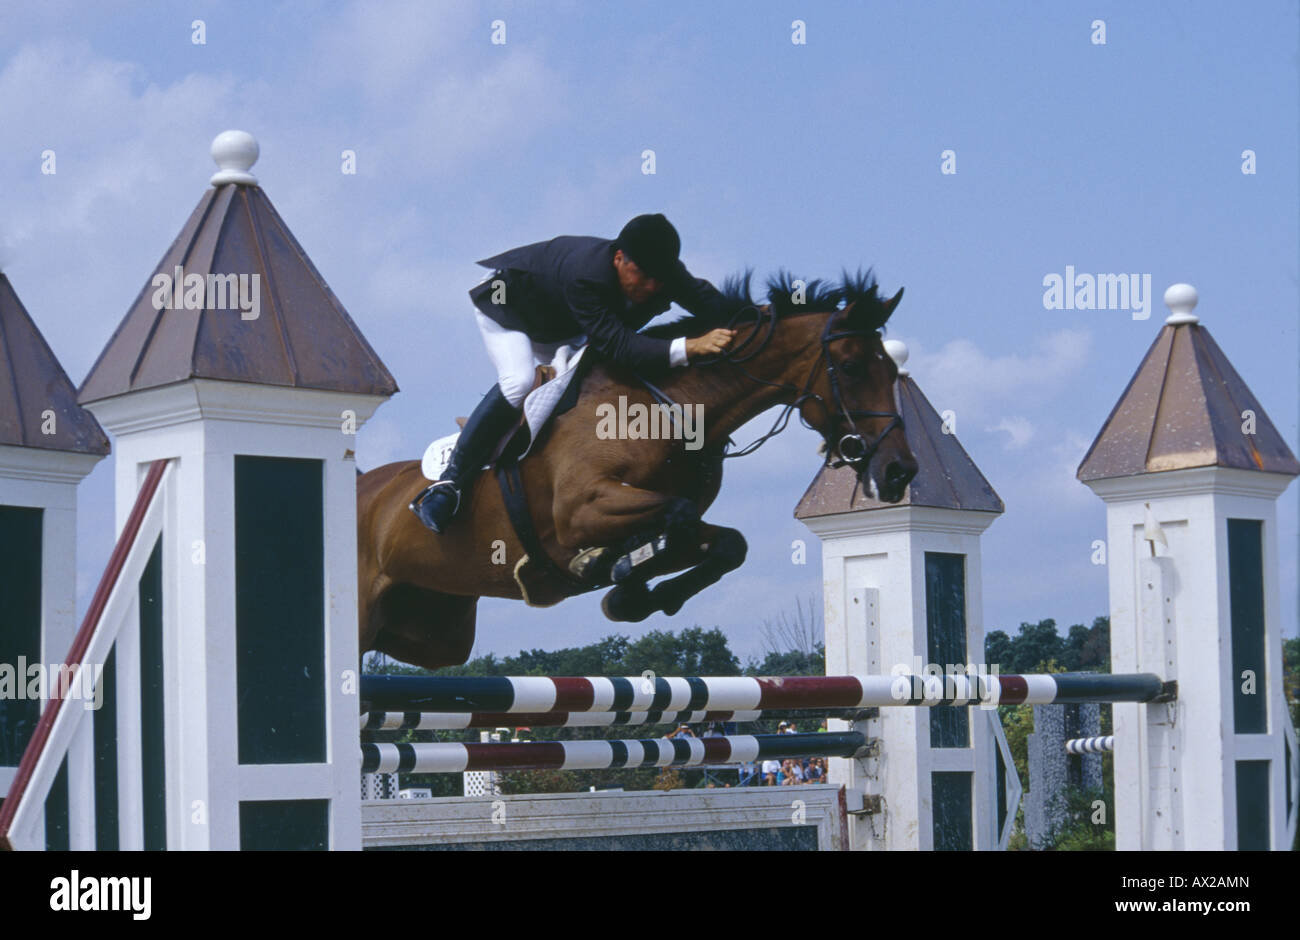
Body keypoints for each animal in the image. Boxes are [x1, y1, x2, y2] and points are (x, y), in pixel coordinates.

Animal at [361, 270, 920, 670]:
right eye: (851, 367)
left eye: (893, 370)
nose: (899, 471)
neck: (666, 408)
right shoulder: (580, 512)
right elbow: (673, 518)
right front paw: (614, 573)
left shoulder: (673, 517)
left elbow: (725, 542)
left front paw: (630, 592)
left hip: (436, 633)